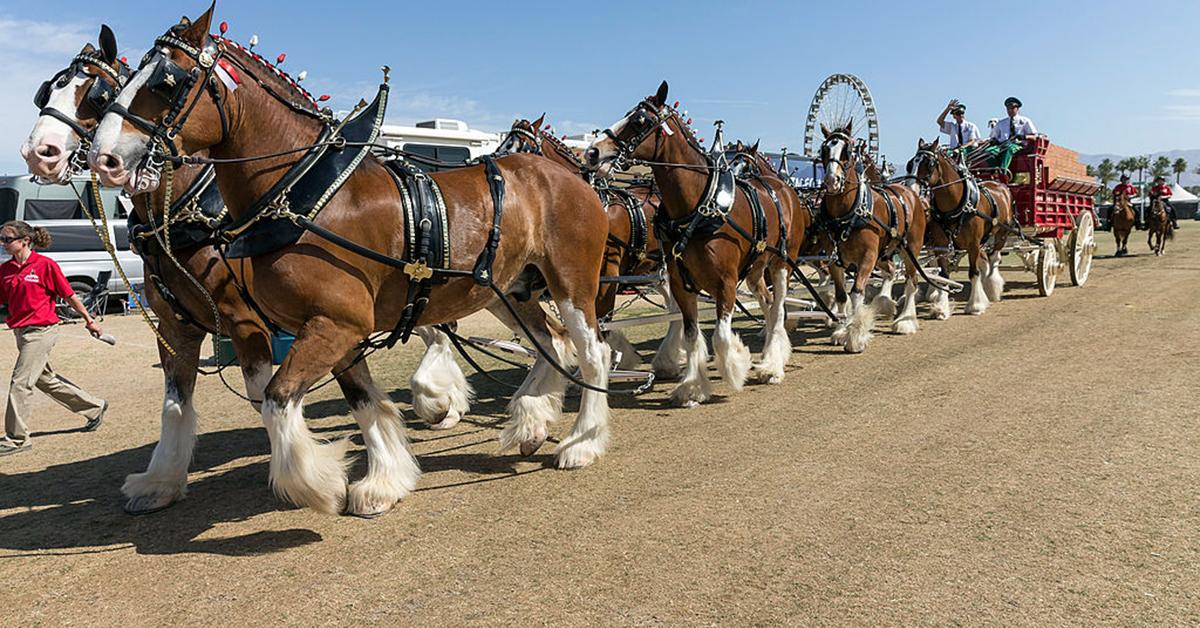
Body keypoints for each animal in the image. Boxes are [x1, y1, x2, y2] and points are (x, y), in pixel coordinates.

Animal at [88, 7, 614, 518]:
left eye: (165, 82)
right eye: (114, 88)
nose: (103, 159)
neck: (304, 192)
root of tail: (570, 173)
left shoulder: (327, 324)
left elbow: (276, 401)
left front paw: (316, 482)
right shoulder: (324, 327)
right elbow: (358, 400)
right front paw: (383, 481)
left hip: (572, 283)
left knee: (592, 352)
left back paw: (581, 442)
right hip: (508, 290)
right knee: (552, 341)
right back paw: (530, 421)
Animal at [585, 81, 801, 405]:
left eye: (640, 120)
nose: (592, 152)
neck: (697, 206)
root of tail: (782, 187)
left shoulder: (725, 282)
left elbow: (721, 336)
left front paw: (736, 365)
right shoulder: (680, 282)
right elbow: (691, 335)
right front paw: (693, 387)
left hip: (782, 263)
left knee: (778, 308)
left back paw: (772, 366)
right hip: (754, 268)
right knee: (768, 304)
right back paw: (768, 358)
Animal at [816, 120, 926, 350]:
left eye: (847, 151)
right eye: (824, 150)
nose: (831, 180)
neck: (848, 213)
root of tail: (911, 192)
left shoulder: (867, 257)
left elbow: (857, 292)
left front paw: (855, 334)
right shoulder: (835, 260)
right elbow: (841, 296)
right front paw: (841, 330)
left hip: (910, 250)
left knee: (911, 281)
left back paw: (906, 320)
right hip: (883, 254)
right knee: (891, 270)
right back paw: (885, 303)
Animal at [907, 136, 1012, 314]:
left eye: (929, 164)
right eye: (910, 164)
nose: (911, 190)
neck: (956, 206)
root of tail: (1000, 184)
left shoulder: (973, 244)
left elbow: (973, 272)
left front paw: (975, 305)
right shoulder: (941, 245)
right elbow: (943, 274)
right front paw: (941, 307)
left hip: (1001, 234)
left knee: (994, 259)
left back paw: (993, 288)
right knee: (986, 260)